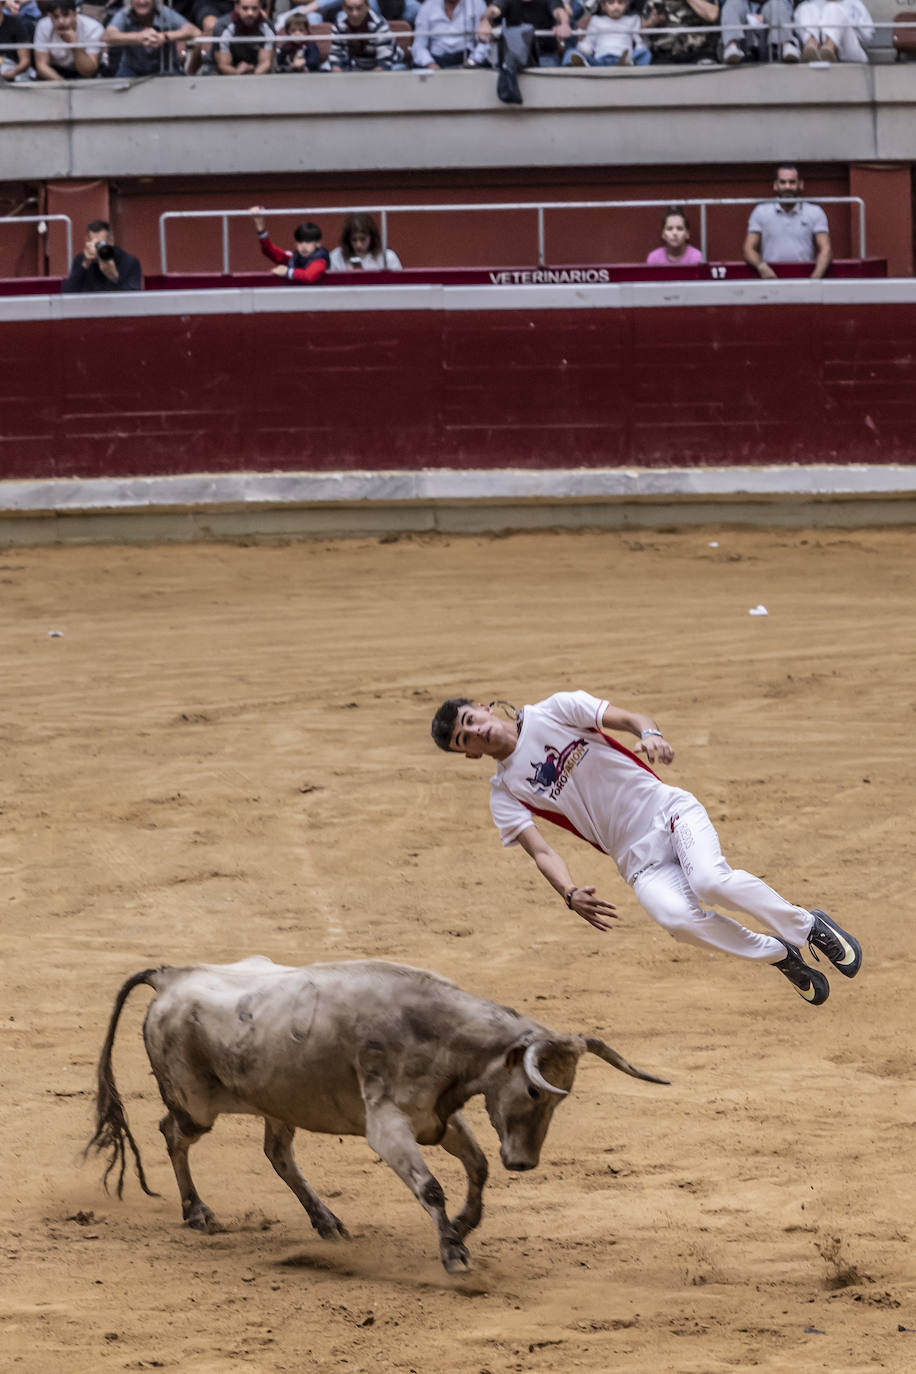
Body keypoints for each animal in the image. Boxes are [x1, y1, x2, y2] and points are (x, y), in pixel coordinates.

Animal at [87, 956, 667, 1264]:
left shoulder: (436, 1118)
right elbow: (430, 1186)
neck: (438, 1033)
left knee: (278, 1153)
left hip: (277, 1100)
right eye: (534, 1091)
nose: (524, 1163)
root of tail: (173, 976)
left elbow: (477, 1166)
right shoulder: (388, 1129)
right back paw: (197, 1213)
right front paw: (453, 1252)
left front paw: (462, 1225)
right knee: (174, 1133)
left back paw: (326, 1221)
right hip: (196, 1104)